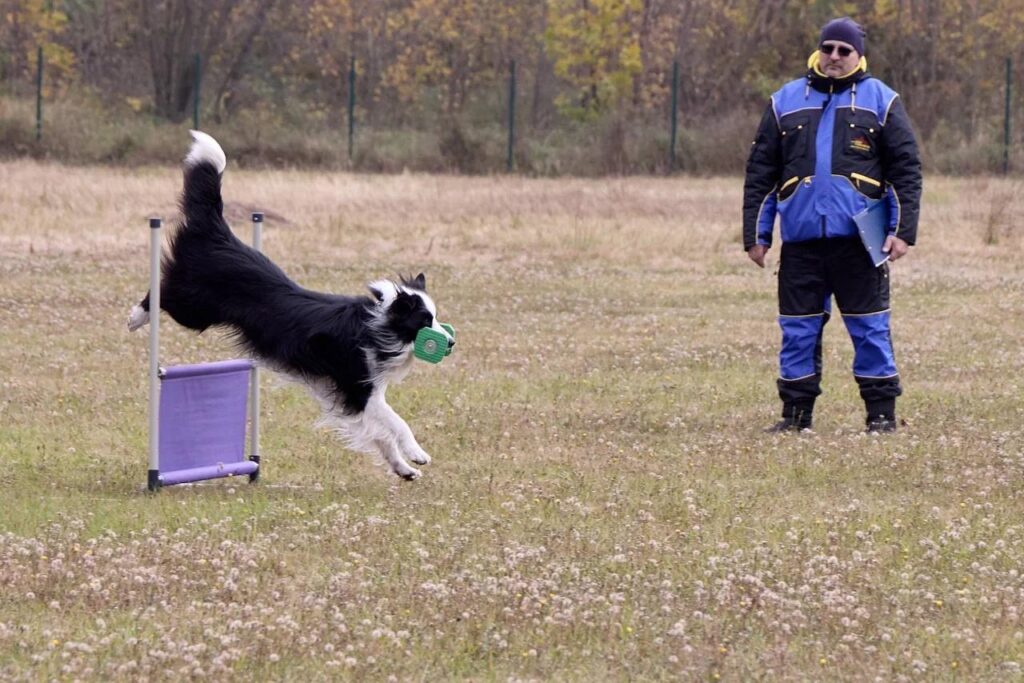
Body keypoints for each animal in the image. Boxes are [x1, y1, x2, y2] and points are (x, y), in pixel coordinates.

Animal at [126, 129, 452, 481]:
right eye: (424, 320)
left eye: (436, 318)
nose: (450, 343)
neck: (378, 325)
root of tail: (220, 232)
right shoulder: (356, 385)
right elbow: (397, 423)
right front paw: (417, 454)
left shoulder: (362, 393)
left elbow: (380, 435)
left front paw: (403, 468)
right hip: (194, 308)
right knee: (161, 292)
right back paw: (135, 317)